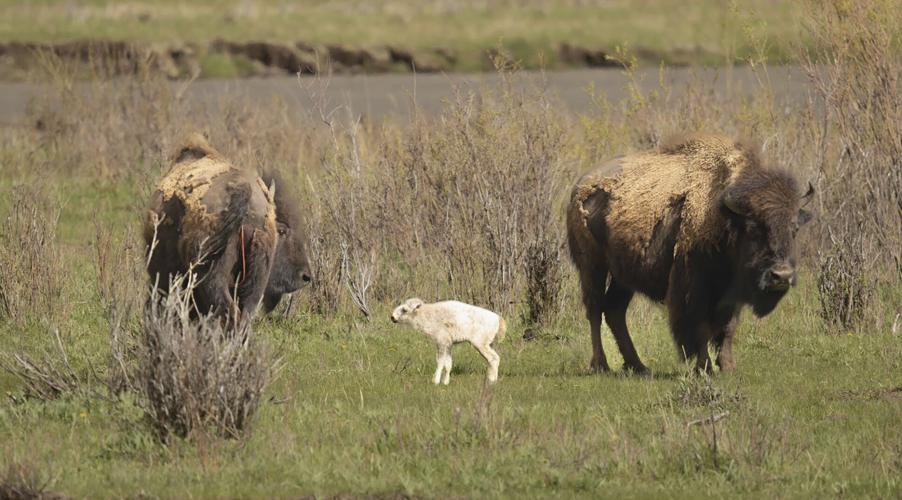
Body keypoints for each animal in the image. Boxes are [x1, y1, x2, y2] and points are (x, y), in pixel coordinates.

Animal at [566, 134, 813, 373]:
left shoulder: (731, 293)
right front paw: (704, 367)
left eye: (794, 229)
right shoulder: (693, 288)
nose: (781, 276)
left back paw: (638, 366)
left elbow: (728, 328)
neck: (726, 216)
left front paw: (728, 367)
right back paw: (601, 365)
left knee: (614, 311)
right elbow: (699, 327)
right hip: (593, 266)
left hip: (623, 275)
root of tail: (580, 184)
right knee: (595, 309)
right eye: (753, 228)